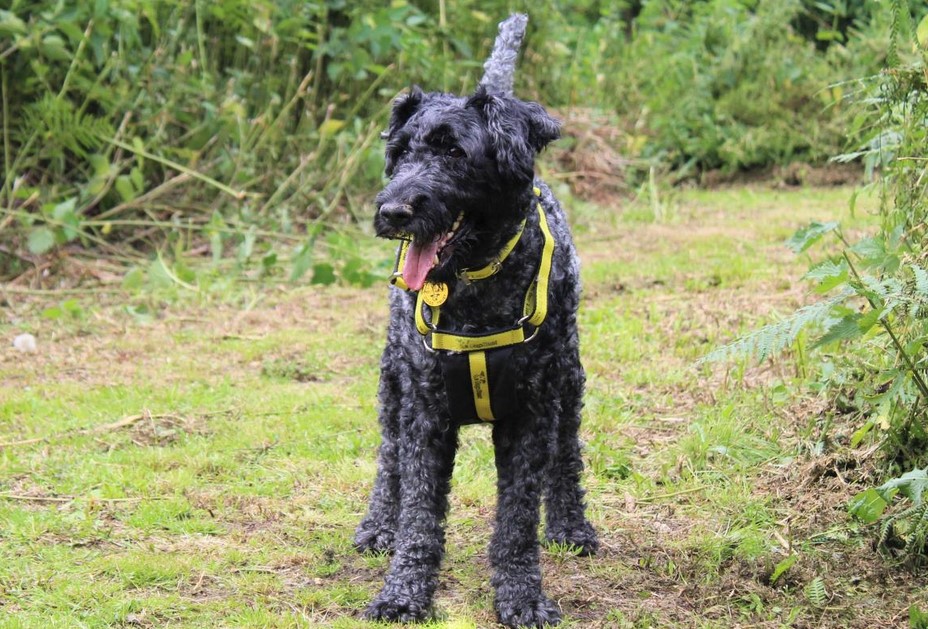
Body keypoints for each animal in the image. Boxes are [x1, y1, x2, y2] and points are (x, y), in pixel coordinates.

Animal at [352, 14, 600, 628]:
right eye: (400, 151)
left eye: (454, 152)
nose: (392, 211)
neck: (475, 288)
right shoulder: (425, 414)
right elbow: (419, 513)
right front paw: (404, 592)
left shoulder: (531, 414)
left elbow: (517, 520)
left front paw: (522, 595)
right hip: (392, 382)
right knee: (388, 458)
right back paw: (378, 524)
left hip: (569, 381)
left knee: (568, 458)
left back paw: (571, 524)